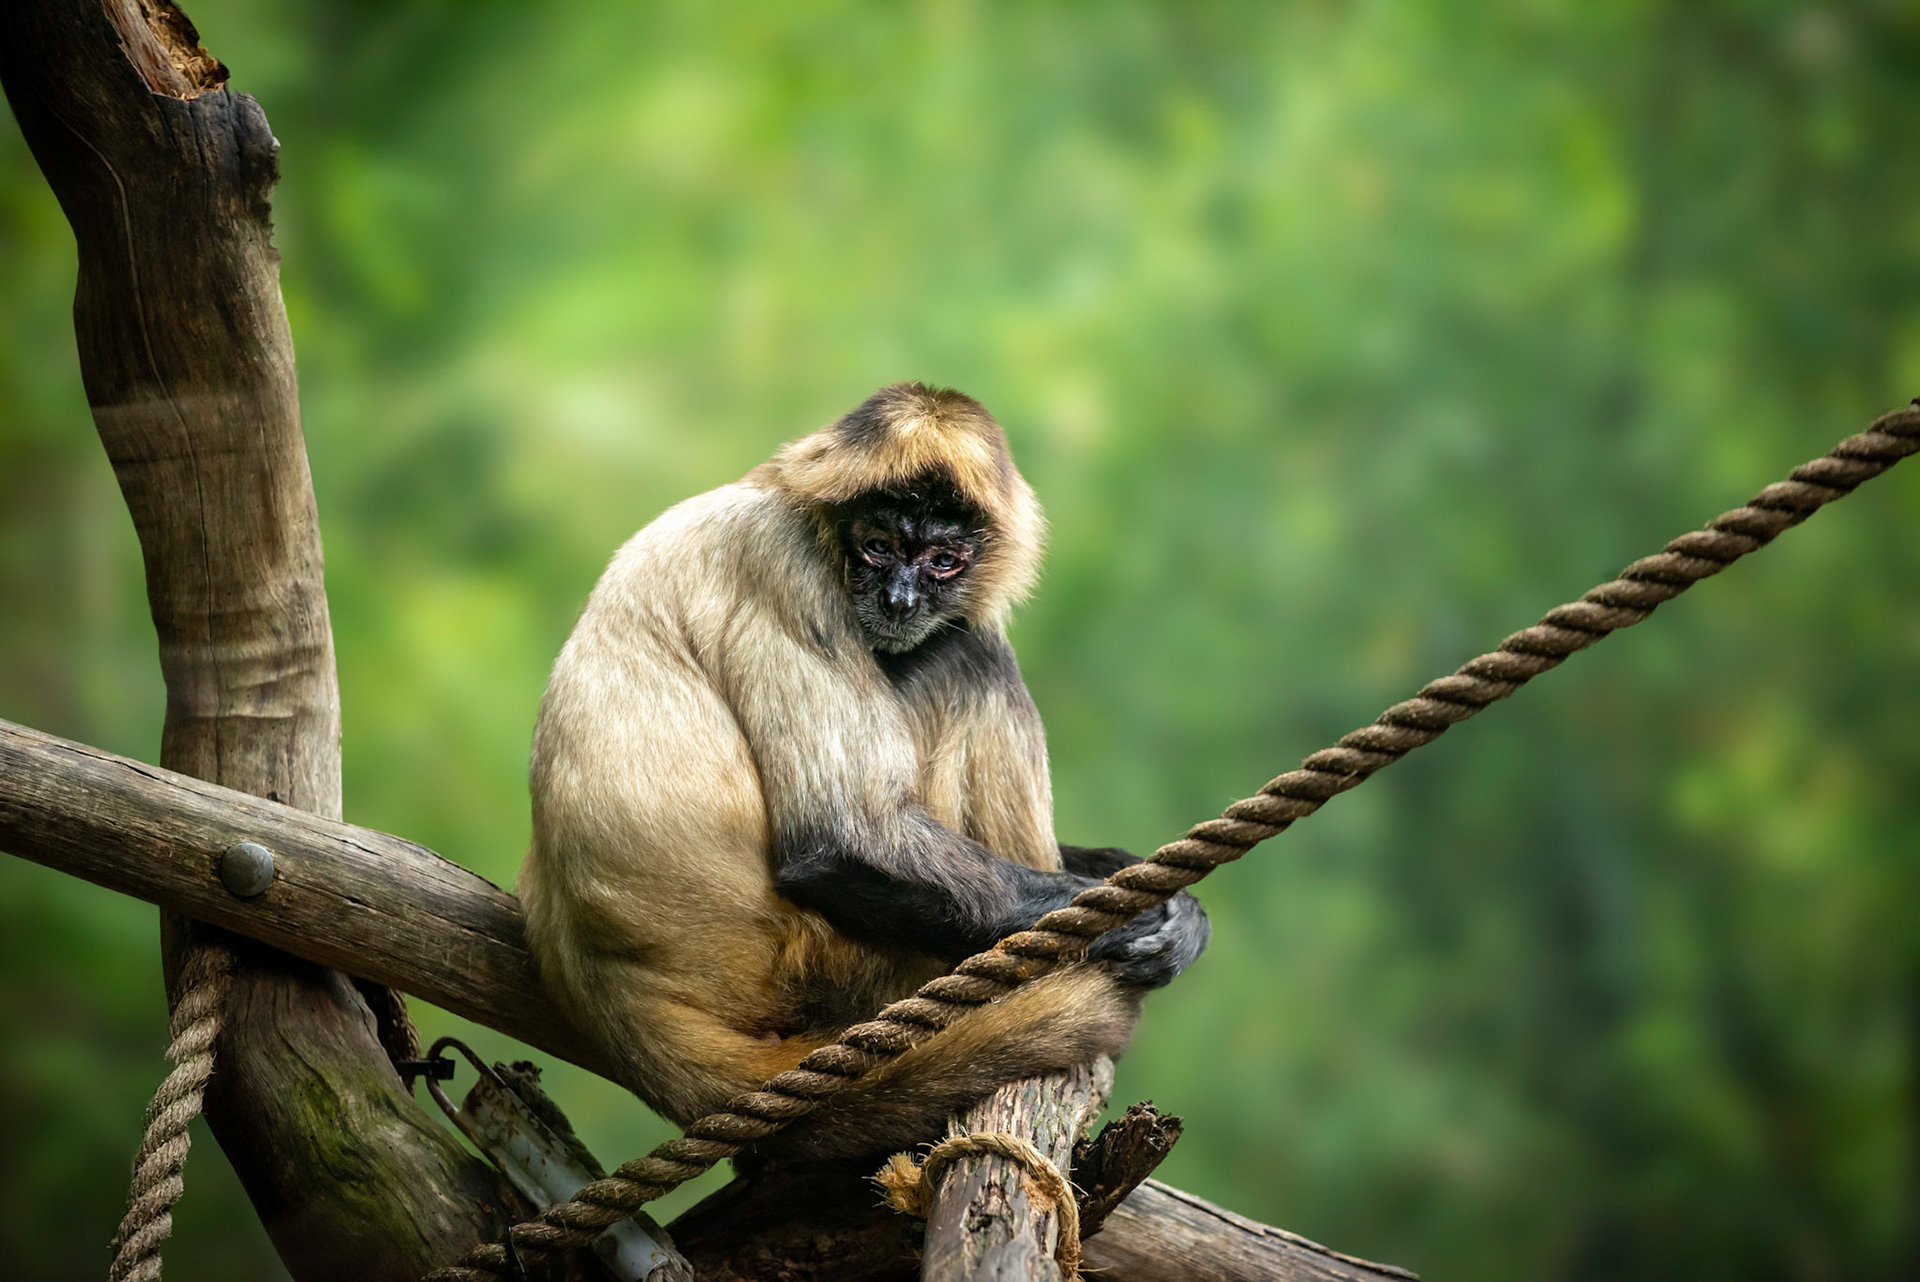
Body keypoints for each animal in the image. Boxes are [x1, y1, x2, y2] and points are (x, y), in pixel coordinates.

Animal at [516, 382, 1208, 1161]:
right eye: (877, 547)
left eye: (942, 559)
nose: (900, 600)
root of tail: (606, 982)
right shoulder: (784, 559)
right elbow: (837, 841)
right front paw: (1133, 915)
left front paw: (1173, 910)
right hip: (820, 960)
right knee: (971, 651)